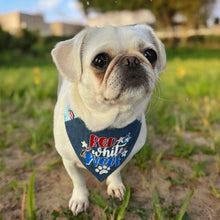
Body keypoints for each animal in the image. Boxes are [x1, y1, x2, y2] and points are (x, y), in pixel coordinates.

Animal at [51, 24, 165, 215]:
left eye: (150, 54)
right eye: (100, 61)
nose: (132, 60)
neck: (109, 124)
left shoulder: (123, 156)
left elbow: (115, 171)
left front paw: (115, 185)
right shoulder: (68, 162)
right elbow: (78, 181)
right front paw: (80, 199)